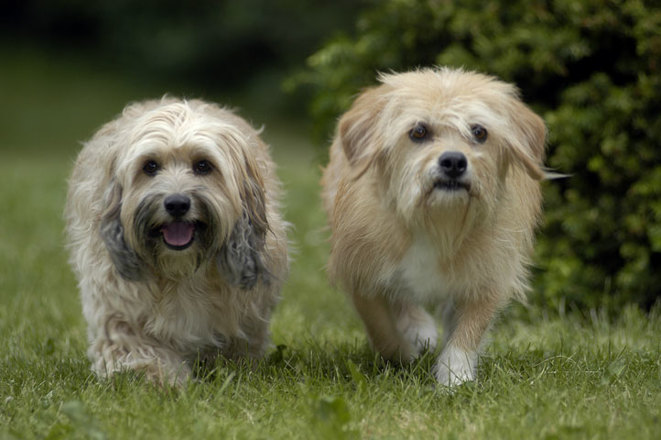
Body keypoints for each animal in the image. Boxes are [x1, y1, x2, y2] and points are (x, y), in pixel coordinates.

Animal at [65, 99, 288, 384]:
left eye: (203, 165)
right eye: (150, 166)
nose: (177, 204)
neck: (181, 270)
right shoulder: (118, 303)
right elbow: (133, 345)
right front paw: (156, 378)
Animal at [320, 68, 548, 384]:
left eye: (479, 132)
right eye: (418, 131)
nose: (453, 161)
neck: (435, 221)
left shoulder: (489, 273)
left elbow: (469, 330)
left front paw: (455, 376)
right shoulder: (360, 270)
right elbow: (379, 324)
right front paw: (402, 354)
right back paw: (418, 329)